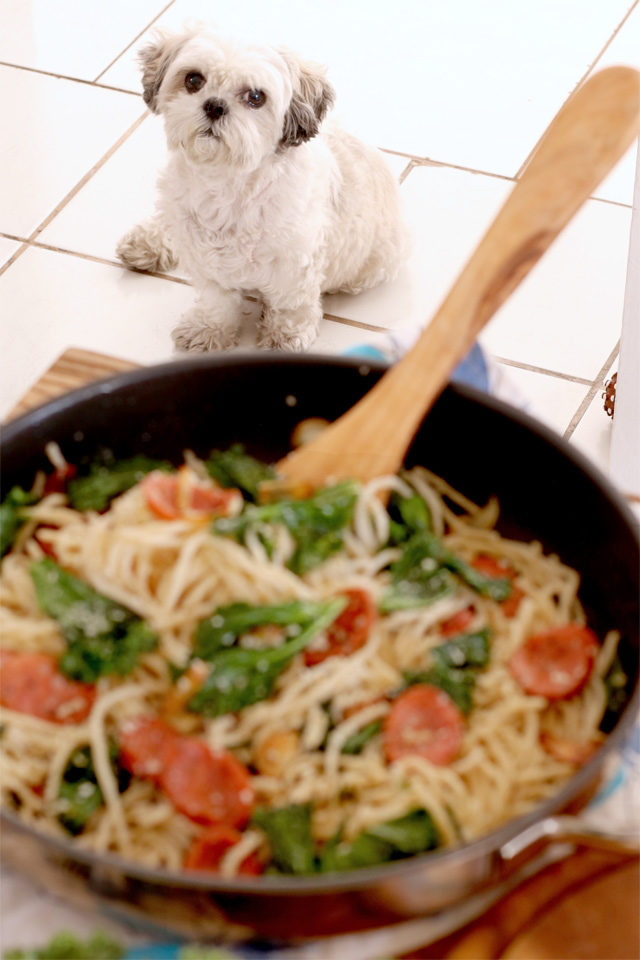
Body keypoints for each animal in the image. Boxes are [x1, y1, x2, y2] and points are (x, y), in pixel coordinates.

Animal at [117, 29, 408, 352]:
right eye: (193, 80)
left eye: (255, 97)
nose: (214, 106)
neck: (226, 184)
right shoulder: (207, 263)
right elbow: (217, 301)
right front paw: (209, 329)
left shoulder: (294, 267)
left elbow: (290, 306)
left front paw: (283, 337)